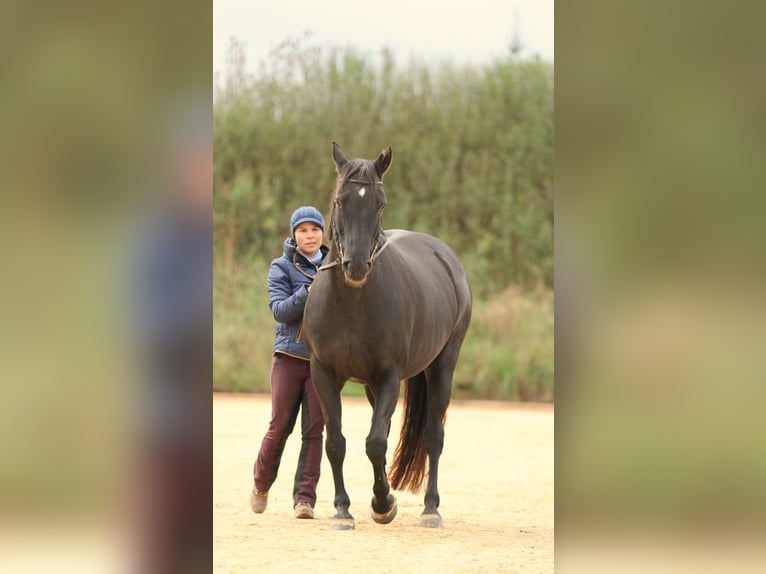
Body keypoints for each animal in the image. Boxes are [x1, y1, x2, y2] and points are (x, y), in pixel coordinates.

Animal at [302, 142, 472, 529]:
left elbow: (376, 442)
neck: (351, 303)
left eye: (380, 203)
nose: (356, 265)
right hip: (369, 385)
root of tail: (445, 257)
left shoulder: (389, 377)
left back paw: (430, 509)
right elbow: (336, 443)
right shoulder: (324, 375)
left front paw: (383, 504)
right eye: (339, 200)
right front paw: (343, 510)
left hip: (443, 365)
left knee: (433, 436)